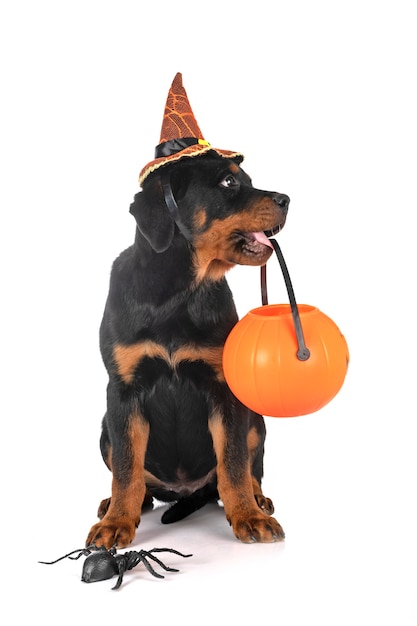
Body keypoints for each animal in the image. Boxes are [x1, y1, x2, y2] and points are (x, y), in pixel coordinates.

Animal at [87, 74, 290, 544]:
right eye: (229, 184)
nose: (288, 199)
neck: (178, 292)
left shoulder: (222, 387)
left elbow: (232, 461)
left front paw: (248, 516)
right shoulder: (123, 391)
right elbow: (126, 468)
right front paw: (116, 524)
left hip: (255, 418)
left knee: (248, 467)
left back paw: (259, 500)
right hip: (104, 427)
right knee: (133, 475)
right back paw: (116, 504)